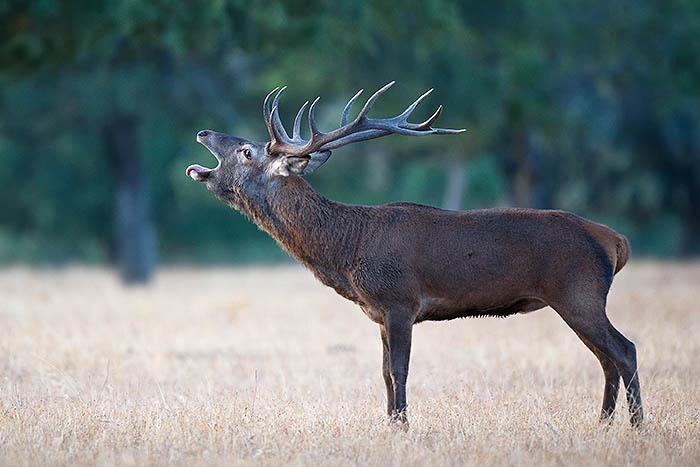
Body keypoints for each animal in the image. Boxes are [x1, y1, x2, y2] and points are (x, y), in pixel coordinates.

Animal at [186, 83, 644, 428]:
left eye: (247, 151)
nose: (204, 132)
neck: (347, 251)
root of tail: (615, 240)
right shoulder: (377, 312)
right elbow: (384, 374)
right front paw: (390, 425)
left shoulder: (400, 300)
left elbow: (399, 371)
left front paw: (403, 427)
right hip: (577, 299)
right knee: (606, 359)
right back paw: (602, 424)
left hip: (578, 292)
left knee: (624, 351)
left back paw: (637, 426)